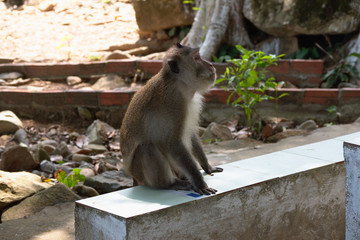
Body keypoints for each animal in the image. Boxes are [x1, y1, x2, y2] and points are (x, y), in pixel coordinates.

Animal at [120, 42, 222, 195]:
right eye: (196, 58)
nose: (210, 64)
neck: (179, 84)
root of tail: (133, 176)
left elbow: (191, 133)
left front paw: (207, 166)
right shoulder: (173, 104)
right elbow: (172, 143)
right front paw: (200, 183)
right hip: (140, 172)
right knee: (147, 147)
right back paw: (169, 184)